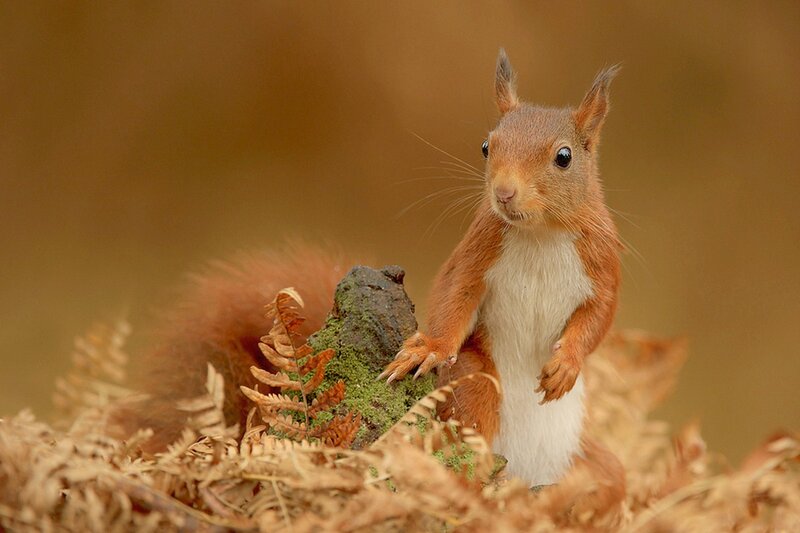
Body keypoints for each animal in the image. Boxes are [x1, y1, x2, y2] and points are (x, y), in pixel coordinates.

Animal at [378, 49, 622, 486]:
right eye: (486, 146)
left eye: (564, 157)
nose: (504, 193)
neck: (541, 233)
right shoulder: (478, 250)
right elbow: (454, 293)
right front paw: (431, 348)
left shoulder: (603, 264)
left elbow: (599, 318)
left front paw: (567, 364)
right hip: (477, 381)